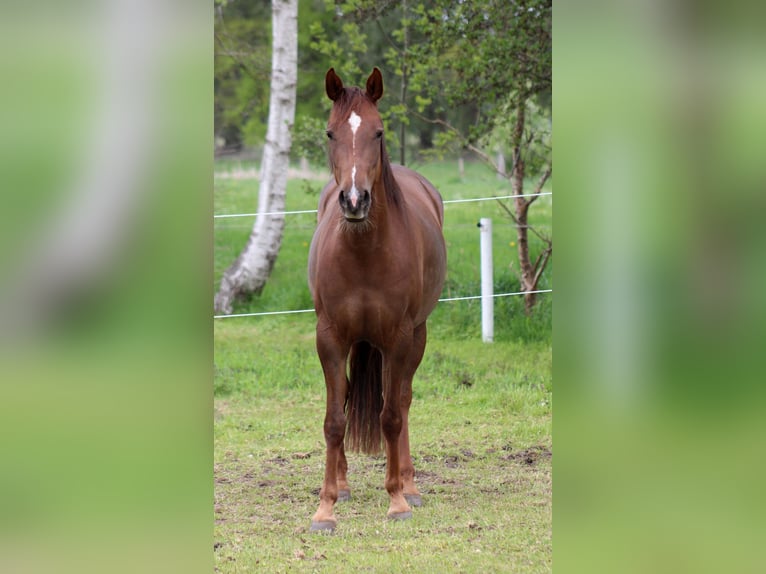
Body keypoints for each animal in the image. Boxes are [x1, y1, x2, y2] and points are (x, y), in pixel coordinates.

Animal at [307, 67, 447, 532]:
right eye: (330, 133)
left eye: (378, 131)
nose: (354, 200)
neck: (364, 252)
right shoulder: (330, 339)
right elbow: (335, 419)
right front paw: (326, 507)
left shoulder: (398, 339)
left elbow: (390, 415)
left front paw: (397, 500)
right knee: (350, 398)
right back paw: (344, 484)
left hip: (416, 337)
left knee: (401, 400)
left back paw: (410, 484)